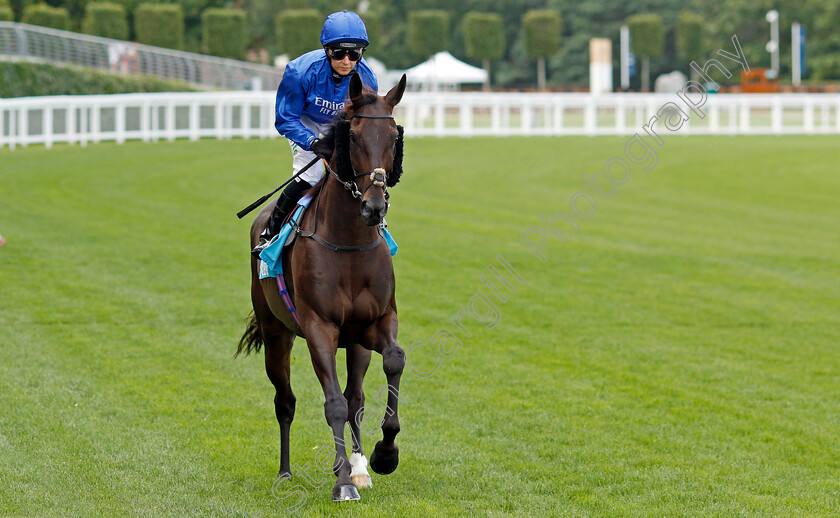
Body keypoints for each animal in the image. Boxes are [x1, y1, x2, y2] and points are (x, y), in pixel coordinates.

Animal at [238, 73, 408, 504]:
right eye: (355, 137)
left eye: (393, 137)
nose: (374, 207)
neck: (347, 244)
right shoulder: (319, 328)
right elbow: (331, 404)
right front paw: (342, 480)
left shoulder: (377, 321)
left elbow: (393, 362)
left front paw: (382, 456)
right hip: (276, 333)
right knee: (285, 401)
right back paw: (285, 471)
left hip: (356, 342)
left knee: (356, 397)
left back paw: (361, 466)